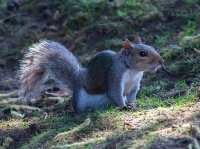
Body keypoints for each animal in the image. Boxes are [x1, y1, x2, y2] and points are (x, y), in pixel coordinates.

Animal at [18, 38, 163, 112]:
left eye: (152, 47)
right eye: (142, 53)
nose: (161, 61)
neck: (132, 71)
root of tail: (77, 79)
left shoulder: (135, 84)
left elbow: (132, 95)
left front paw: (133, 104)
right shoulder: (114, 76)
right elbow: (115, 94)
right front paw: (124, 106)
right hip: (80, 99)